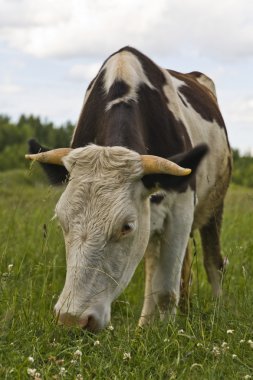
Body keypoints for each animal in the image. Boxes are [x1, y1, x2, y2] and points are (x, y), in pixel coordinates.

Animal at [26, 47, 231, 332]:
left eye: (126, 226)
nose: (72, 319)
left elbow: (166, 290)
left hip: (214, 204)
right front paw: (148, 331)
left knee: (213, 262)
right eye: (62, 223)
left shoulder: (181, 207)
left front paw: (164, 335)